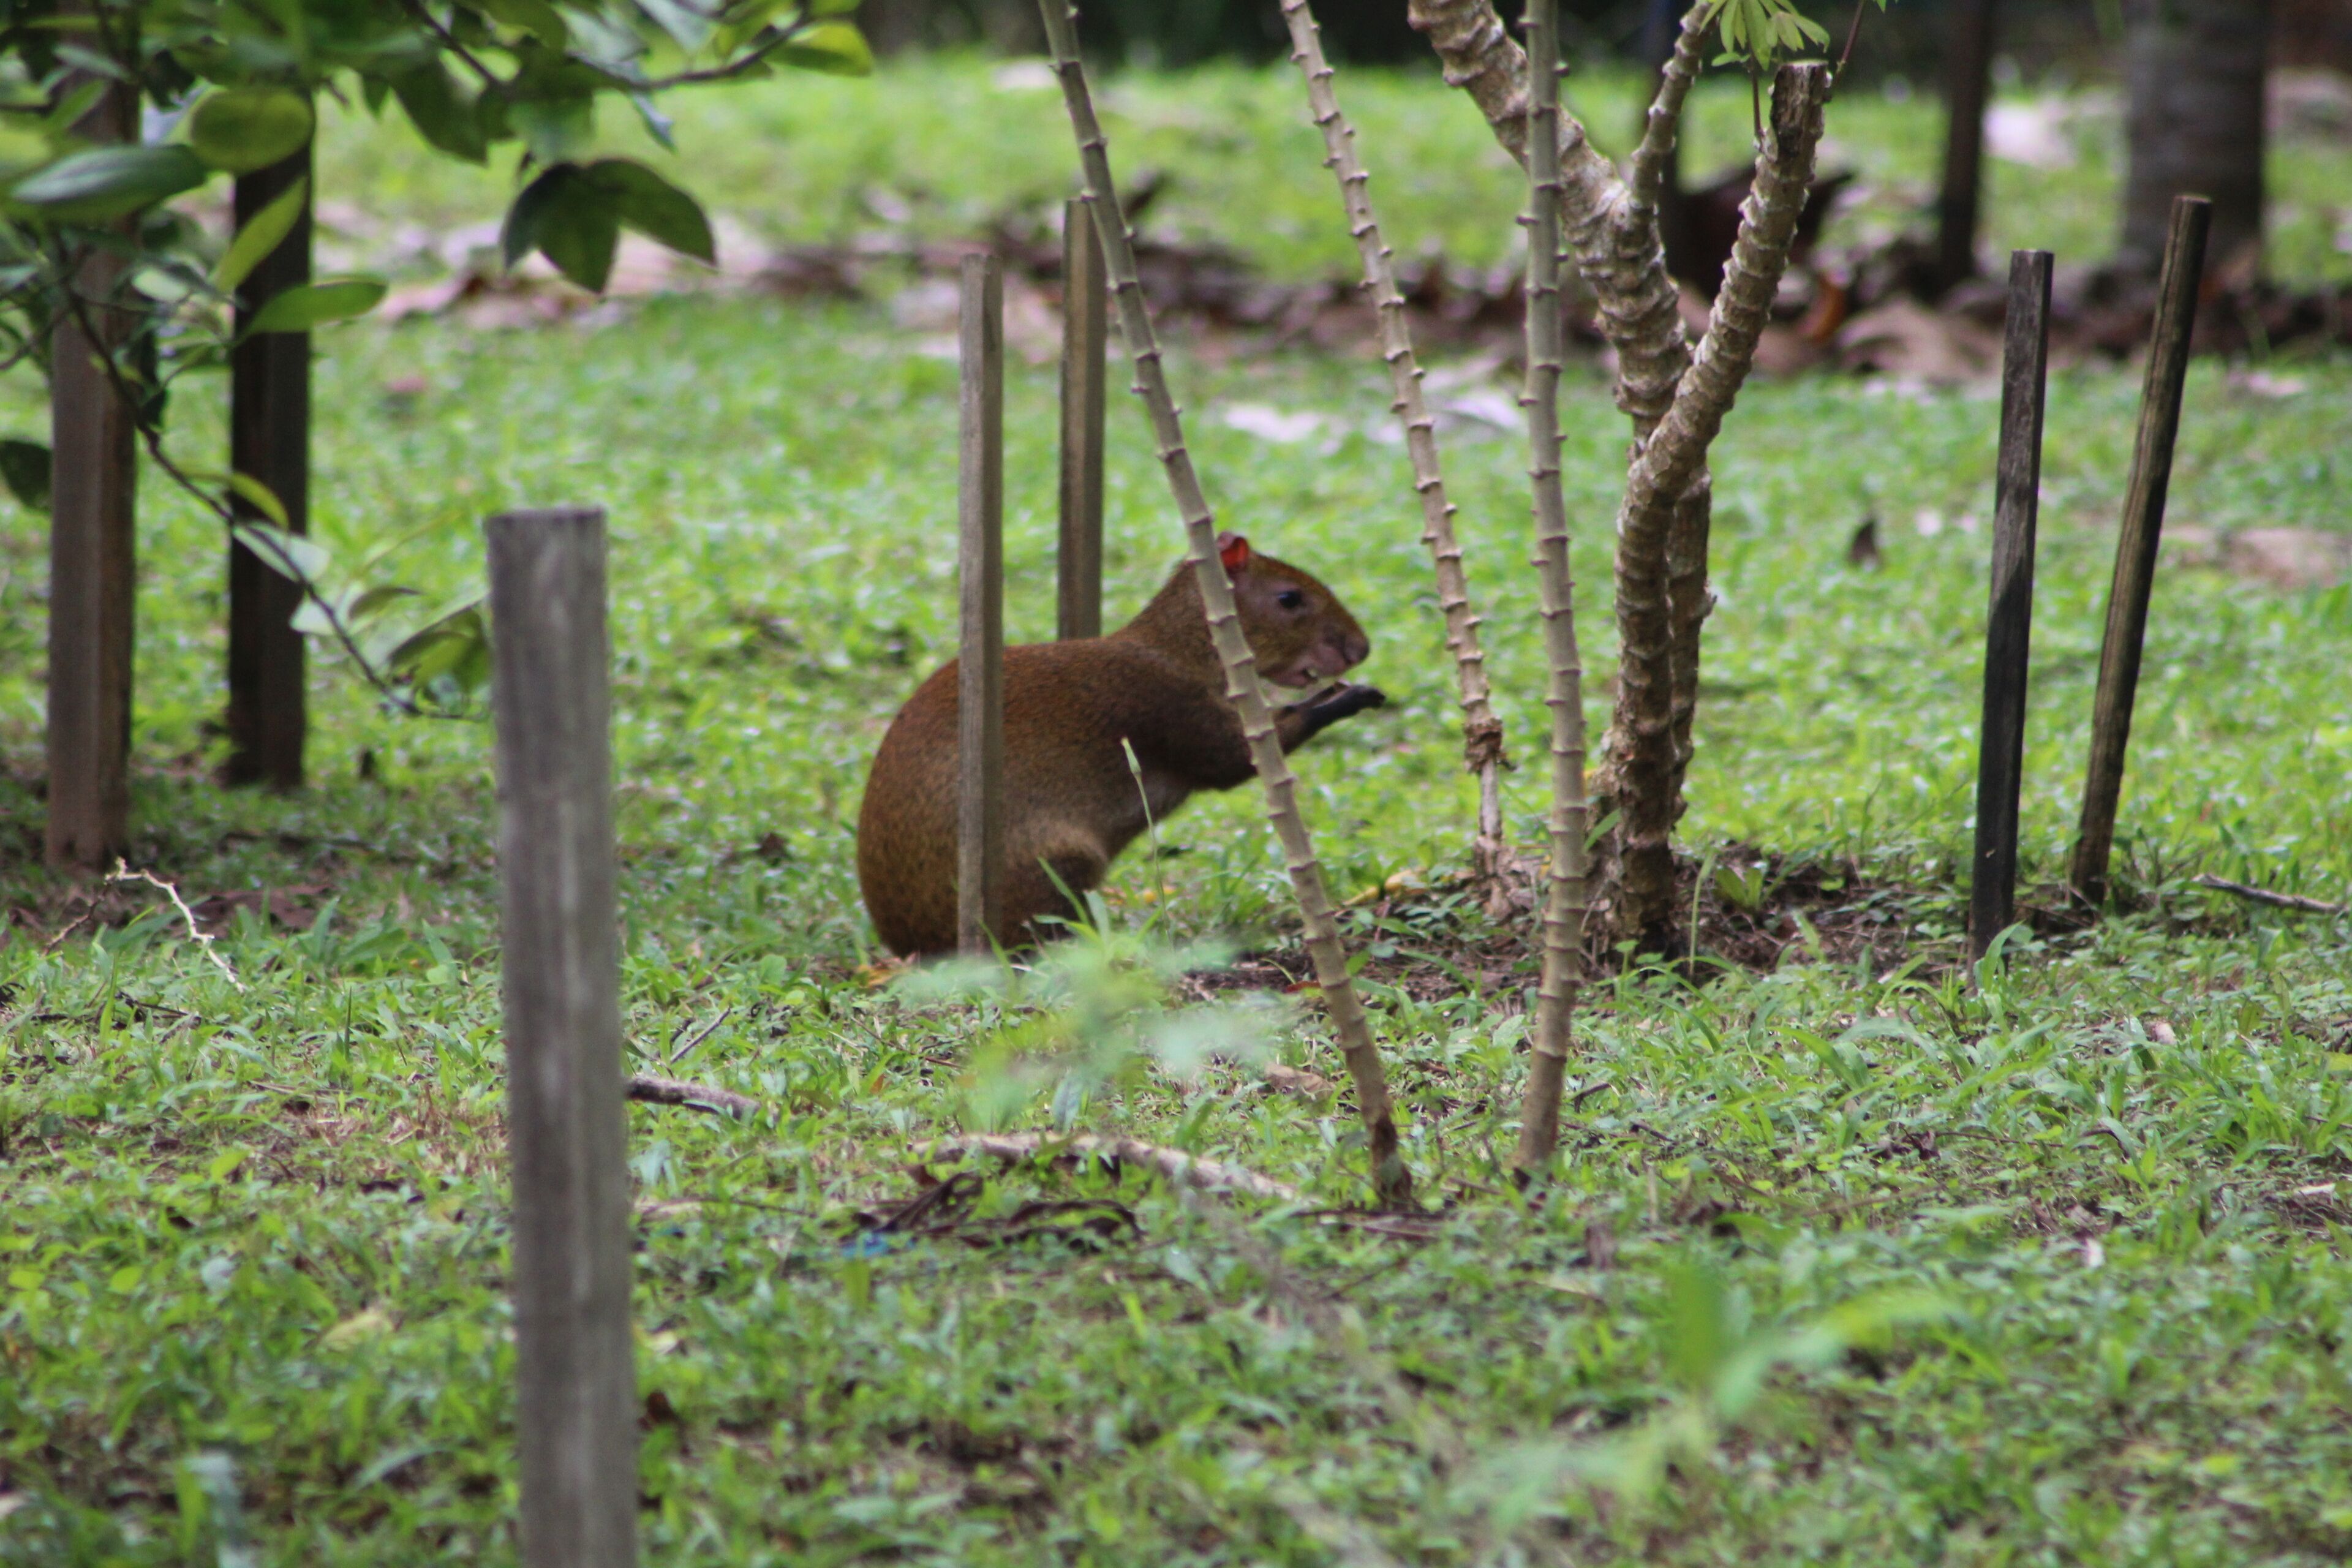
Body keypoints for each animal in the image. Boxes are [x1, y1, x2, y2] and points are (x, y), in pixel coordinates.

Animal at [856, 532, 1387, 957]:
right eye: (1290, 598)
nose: (1361, 648)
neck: (1180, 651)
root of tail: (910, 946)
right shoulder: (1174, 711)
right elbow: (1238, 759)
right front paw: (1347, 698)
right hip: (1059, 862)